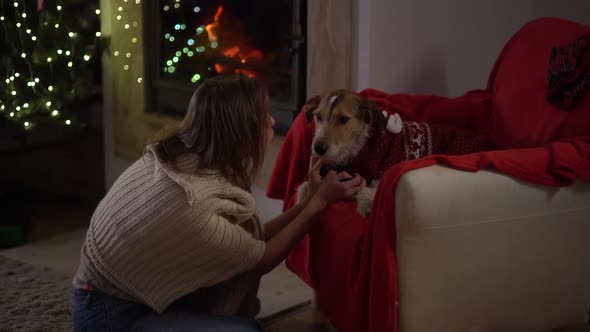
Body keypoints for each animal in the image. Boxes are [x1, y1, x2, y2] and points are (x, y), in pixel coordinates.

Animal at [298, 89, 488, 218]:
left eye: (343, 119)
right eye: (318, 117)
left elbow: (366, 188)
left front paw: (367, 204)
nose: (318, 148)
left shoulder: (380, 176)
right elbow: (306, 186)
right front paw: (304, 195)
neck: (361, 146)